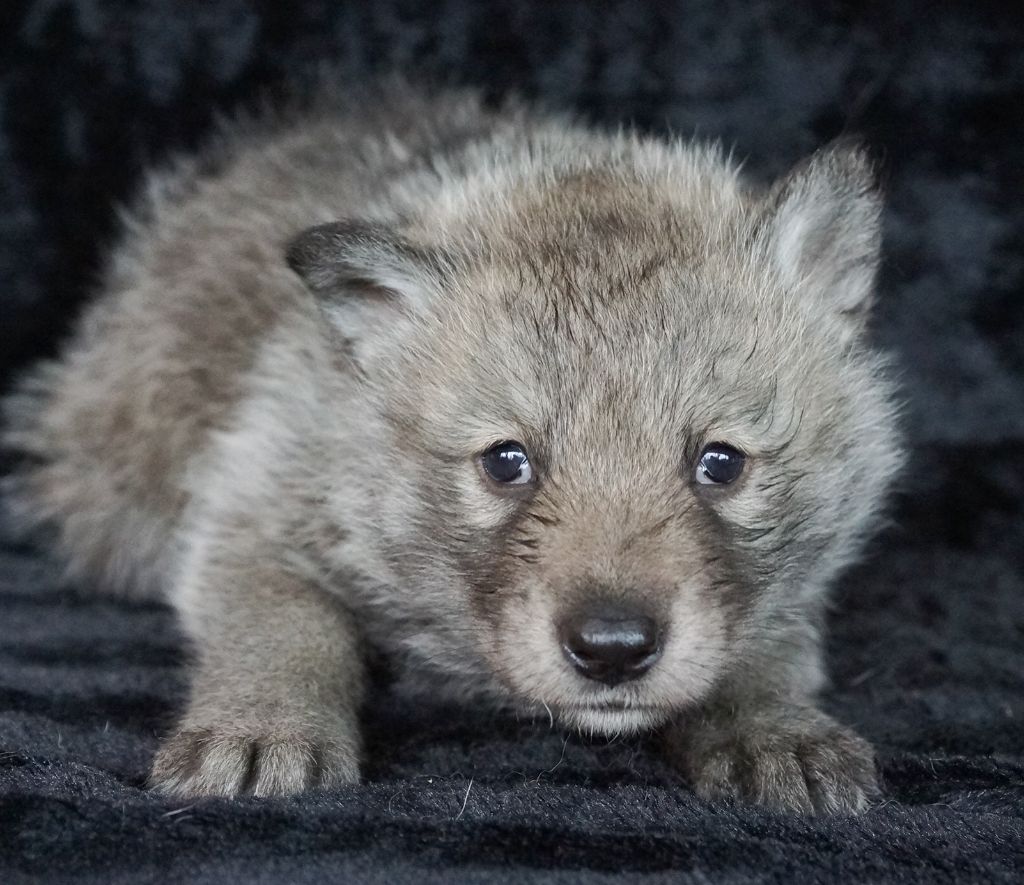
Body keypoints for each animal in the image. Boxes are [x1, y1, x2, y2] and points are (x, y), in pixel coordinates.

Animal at [4, 82, 897, 807]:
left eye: (721, 462)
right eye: (506, 462)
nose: (612, 649)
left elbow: (765, 644)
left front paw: (772, 727)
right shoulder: (254, 515)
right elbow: (283, 627)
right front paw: (262, 727)